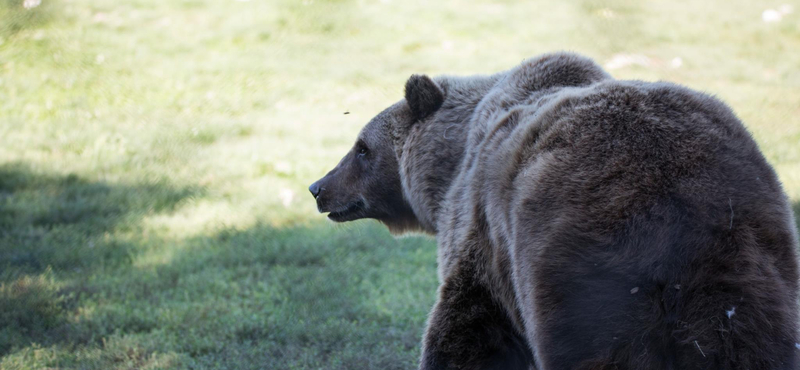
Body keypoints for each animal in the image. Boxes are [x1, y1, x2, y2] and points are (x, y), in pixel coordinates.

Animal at [308, 52, 800, 370]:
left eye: (361, 147)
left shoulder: (482, 238)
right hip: (750, 261)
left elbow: (466, 329)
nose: (318, 188)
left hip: (582, 266)